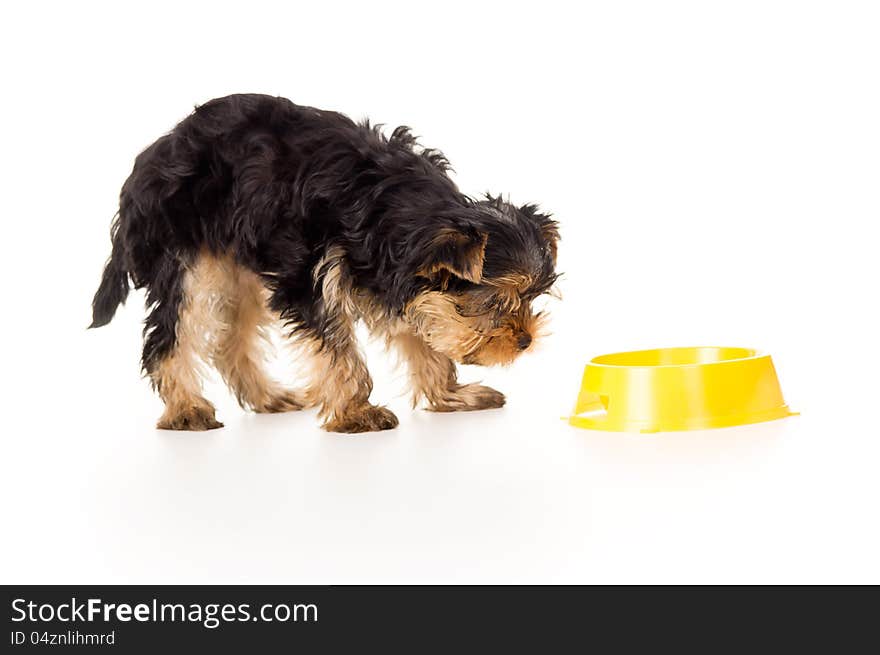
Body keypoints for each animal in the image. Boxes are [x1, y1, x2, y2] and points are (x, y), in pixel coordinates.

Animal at [89, 92, 556, 430]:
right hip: (183, 256)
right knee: (169, 335)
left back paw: (267, 397)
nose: (525, 339)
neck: (398, 214)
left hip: (236, 261)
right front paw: (356, 413)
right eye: (494, 302)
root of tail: (148, 160)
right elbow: (339, 349)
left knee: (231, 336)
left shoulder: (399, 280)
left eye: (532, 298)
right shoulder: (311, 278)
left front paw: (450, 395)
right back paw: (187, 410)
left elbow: (422, 333)